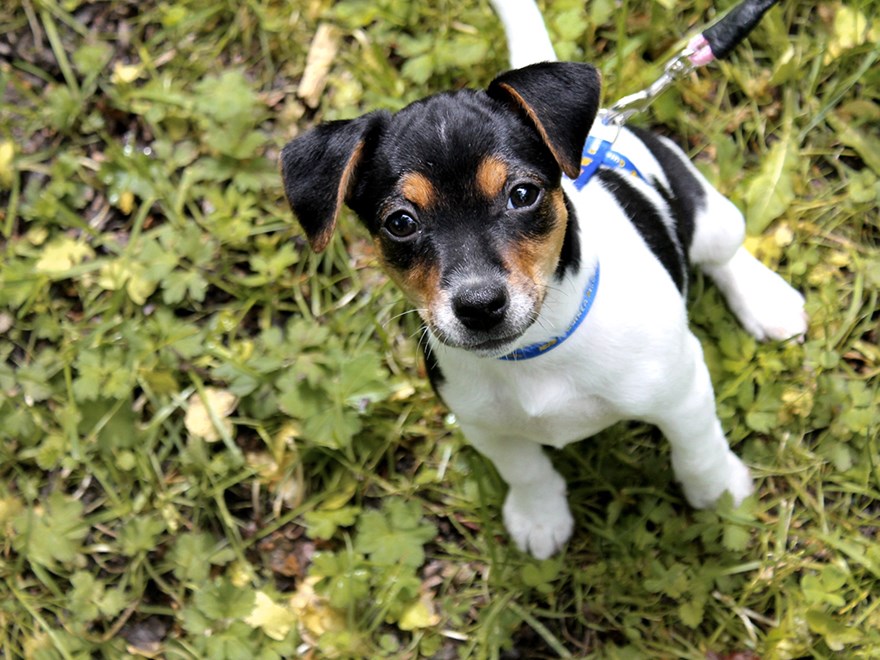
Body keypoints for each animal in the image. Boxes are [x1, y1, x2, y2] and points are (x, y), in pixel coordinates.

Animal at [280, 0, 804, 556]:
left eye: (523, 194)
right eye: (400, 223)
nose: (479, 304)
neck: (537, 351)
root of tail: (604, 122)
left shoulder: (682, 390)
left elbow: (697, 447)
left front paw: (719, 493)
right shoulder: (482, 422)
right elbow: (525, 469)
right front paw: (539, 516)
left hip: (708, 214)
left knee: (724, 252)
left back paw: (767, 300)